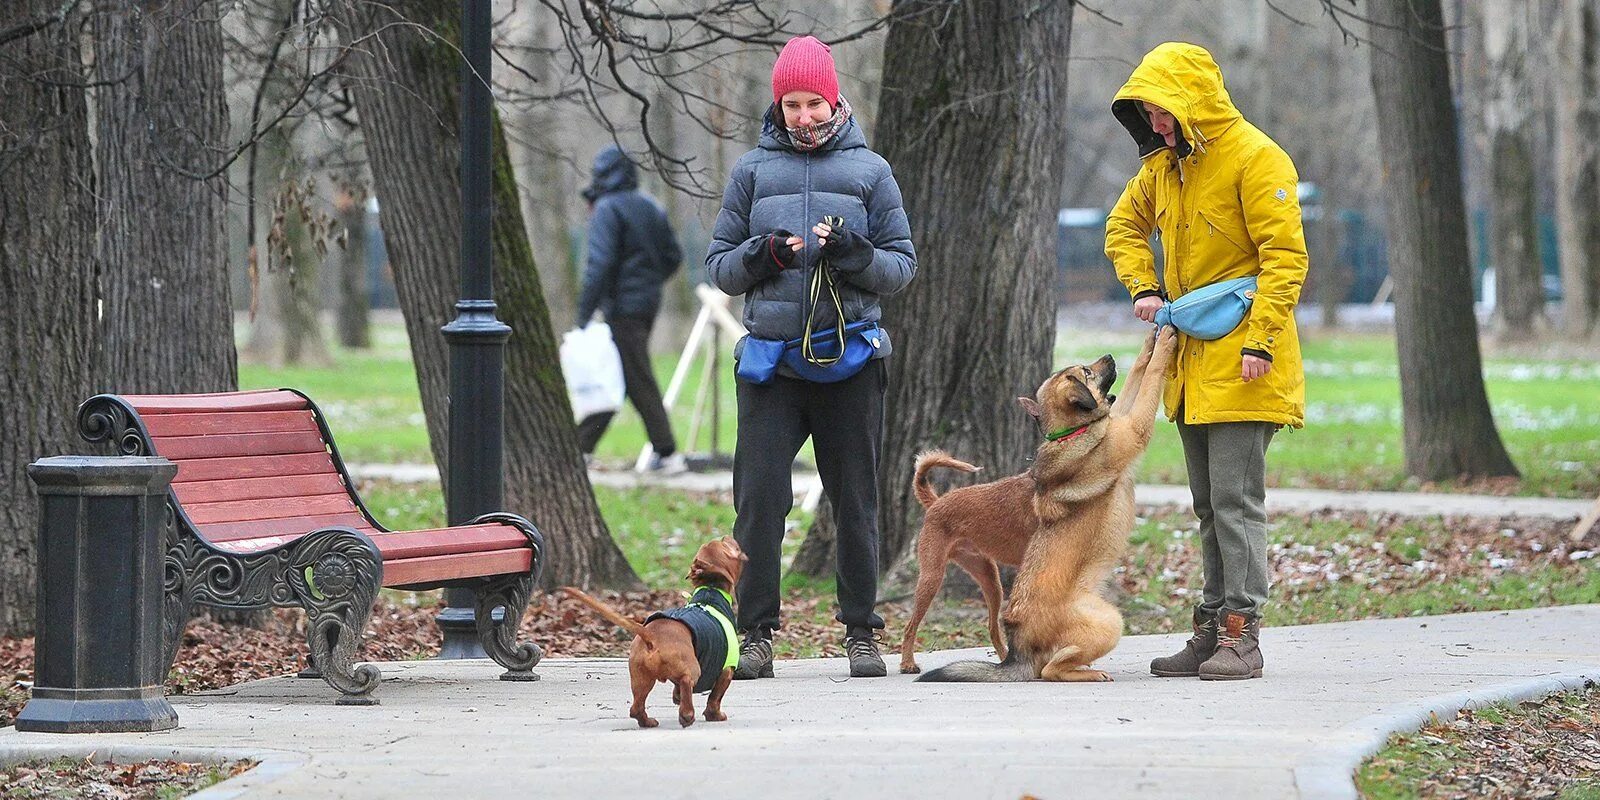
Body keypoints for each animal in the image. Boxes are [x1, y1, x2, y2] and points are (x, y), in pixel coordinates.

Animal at [563, 537, 748, 726]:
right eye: (725, 545)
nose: (727, 537)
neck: (711, 590)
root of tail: (651, 635)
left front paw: (677, 697)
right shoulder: (727, 670)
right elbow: (715, 697)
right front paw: (715, 715)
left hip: (641, 678)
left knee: (636, 708)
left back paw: (648, 721)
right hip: (692, 668)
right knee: (686, 681)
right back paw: (686, 715)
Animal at [915, 324, 1177, 681]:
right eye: (1086, 372)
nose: (1110, 356)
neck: (1072, 432)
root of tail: (1018, 650)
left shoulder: (1120, 417)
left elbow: (1137, 375)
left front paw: (1150, 342)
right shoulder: (1134, 427)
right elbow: (1150, 379)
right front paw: (1165, 344)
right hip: (1109, 620)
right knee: (1051, 669)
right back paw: (1088, 672)